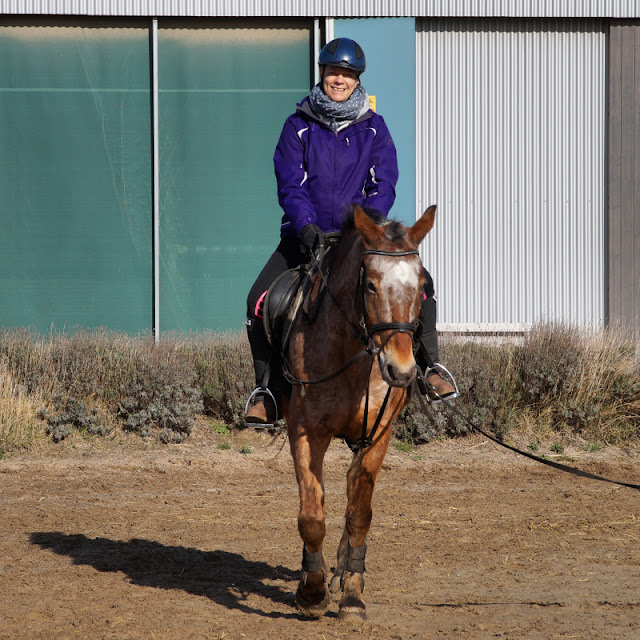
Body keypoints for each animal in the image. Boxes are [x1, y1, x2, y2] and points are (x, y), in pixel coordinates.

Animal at [282, 205, 438, 620]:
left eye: (421, 286)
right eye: (370, 285)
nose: (401, 370)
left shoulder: (378, 435)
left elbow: (360, 514)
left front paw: (352, 593)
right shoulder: (305, 431)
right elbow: (312, 515)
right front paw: (311, 590)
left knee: (354, 491)